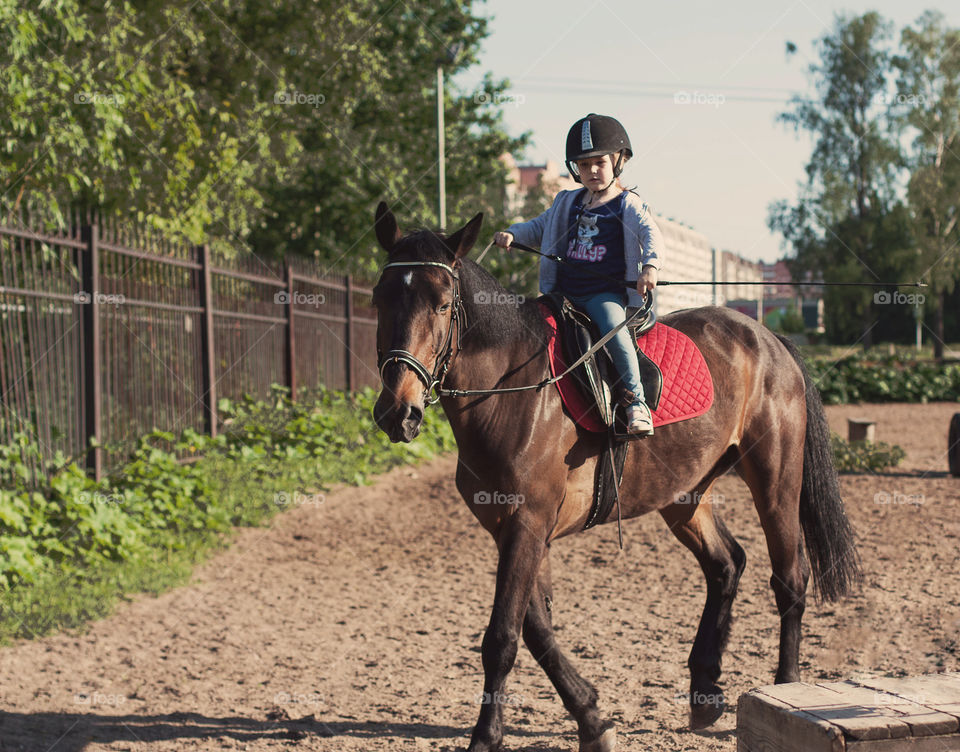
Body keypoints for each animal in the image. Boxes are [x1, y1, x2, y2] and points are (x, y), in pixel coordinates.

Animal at [370, 204, 864, 752]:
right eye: (379, 299)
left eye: (441, 304)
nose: (398, 411)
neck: (512, 391)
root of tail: (767, 337)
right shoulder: (515, 530)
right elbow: (537, 630)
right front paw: (591, 716)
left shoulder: (527, 524)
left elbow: (503, 637)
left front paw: (486, 737)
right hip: (685, 494)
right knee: (726, 564)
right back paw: (705, 690)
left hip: (776, 479)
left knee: (789, 579)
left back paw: (784, 688)